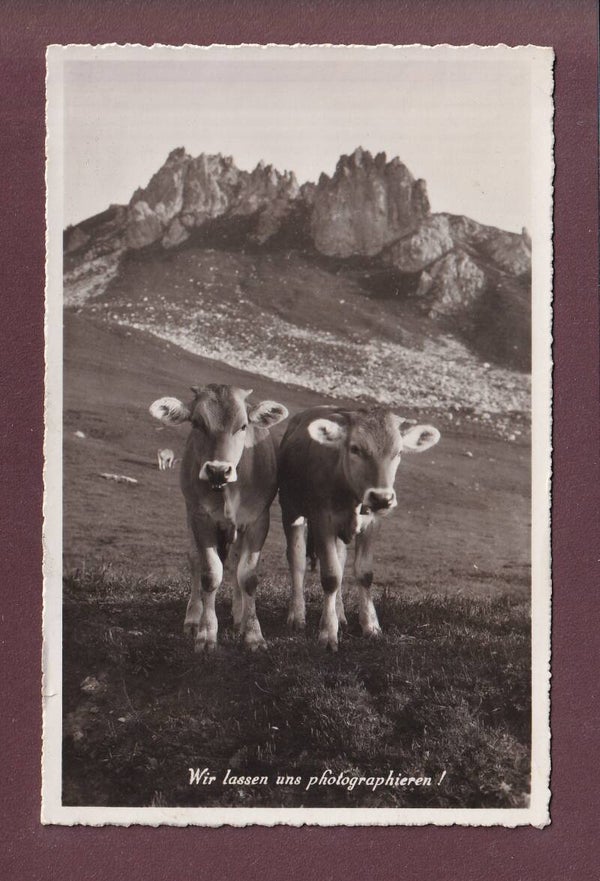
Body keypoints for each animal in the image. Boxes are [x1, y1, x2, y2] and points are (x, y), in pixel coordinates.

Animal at [149, 384, 288, 652]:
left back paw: (239, 616)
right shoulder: (201, 519)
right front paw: (206, 633)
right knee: (195, 560)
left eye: (243, 426)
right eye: (197, 423)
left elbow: (248, 577)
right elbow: (210, 574)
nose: (218, 470)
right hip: (190, 513)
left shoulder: (258, 521)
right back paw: (193, 618)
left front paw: (253, 634)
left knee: (235, 563)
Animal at [278, 405, 440, 651]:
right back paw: (297, 615)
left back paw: (340, 614)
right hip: (290, 509)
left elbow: (363, 573)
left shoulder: (372, 524)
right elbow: (331, 576)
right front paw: (328, 632)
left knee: (340, 558)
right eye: (355, 449)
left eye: (398, 452)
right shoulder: (322, 521)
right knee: (297, 560)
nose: (382, 498)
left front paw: (370, 626)